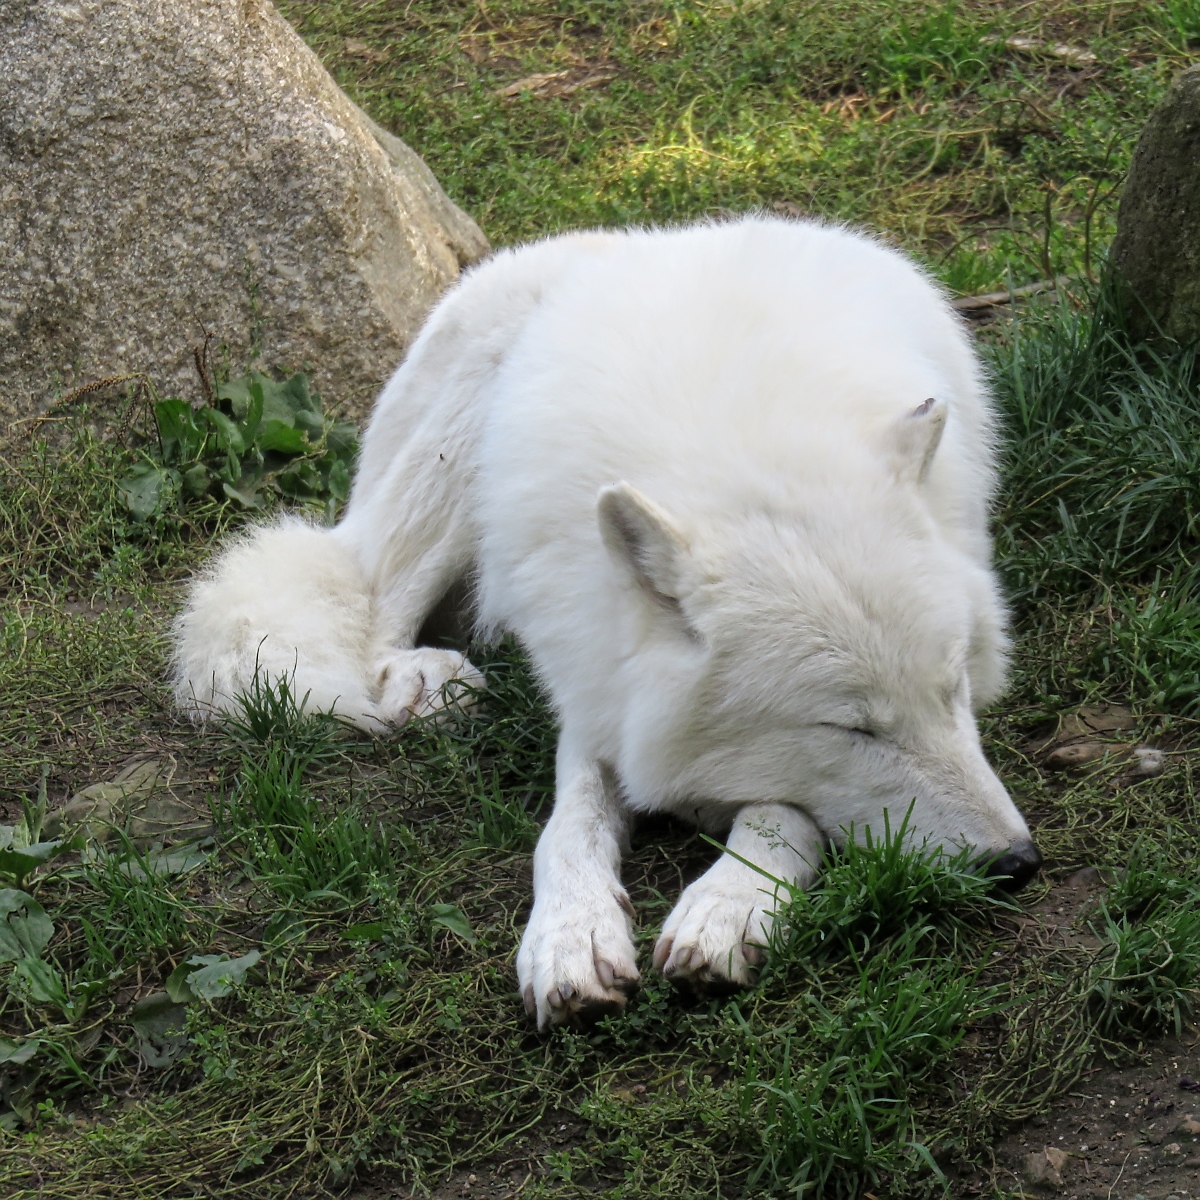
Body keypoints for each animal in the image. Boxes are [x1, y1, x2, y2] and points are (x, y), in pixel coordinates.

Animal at [175, 220, 1041, 1027]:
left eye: (954, 691)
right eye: (854, 729)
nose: (1019, 862)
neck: (737, 457)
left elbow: (781, 812)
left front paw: (729, 907)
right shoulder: (594, 683)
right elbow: (569, 826)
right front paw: (570, 935)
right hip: (455, 471)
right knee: (375, 600)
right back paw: (421, 682)